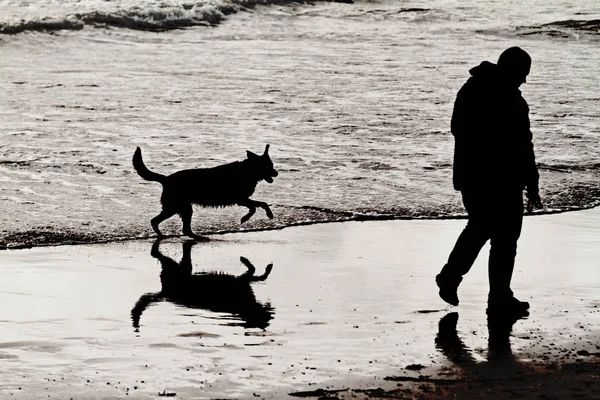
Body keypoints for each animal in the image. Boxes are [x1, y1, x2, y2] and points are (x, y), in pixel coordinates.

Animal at [132, 145, 278, 239]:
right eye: (270, 166)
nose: (276, 173)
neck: (248, 170)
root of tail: (166, 179)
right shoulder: (241, 199)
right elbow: (256, 206)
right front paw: (246, 218)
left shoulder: (242, 200)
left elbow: (261, 204)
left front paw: (266, 214)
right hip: (176, 207)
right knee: (157, 221)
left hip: (180, 208)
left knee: (181, 228)